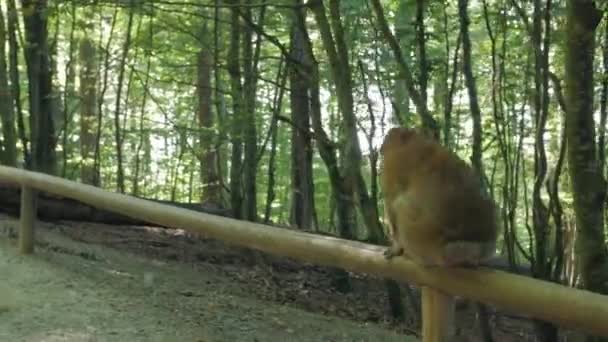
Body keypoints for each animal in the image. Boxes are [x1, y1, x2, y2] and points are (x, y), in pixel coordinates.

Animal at [380, 127, 498, 266]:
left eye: (387, 137)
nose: (381, 147)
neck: (414, 141)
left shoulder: (392, 164)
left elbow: (391, 202)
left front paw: (396, 247)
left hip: (420, 236)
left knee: (400, 204)